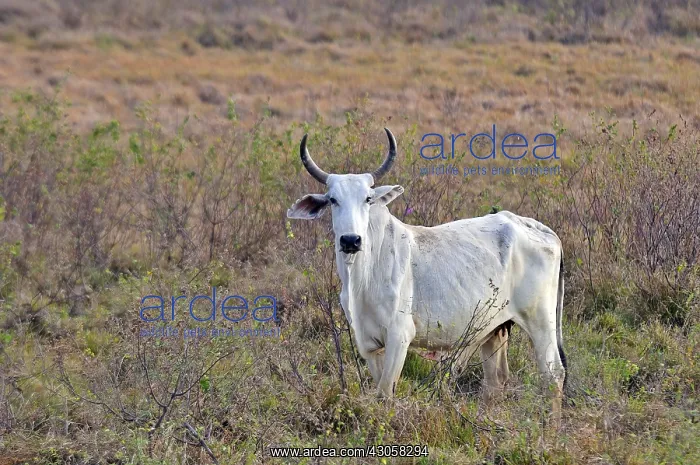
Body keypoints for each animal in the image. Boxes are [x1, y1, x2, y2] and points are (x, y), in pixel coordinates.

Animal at [287, 129, 567, 420]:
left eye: (368, 199)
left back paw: (552, 427)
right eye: (332, 200)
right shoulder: (368, 343)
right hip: (494, 328)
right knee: (496, 382)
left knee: (552, 374)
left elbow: (385, 393)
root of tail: (537, 227)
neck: (363, 276)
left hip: (541, 320)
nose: (351, 240)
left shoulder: (399, 336)